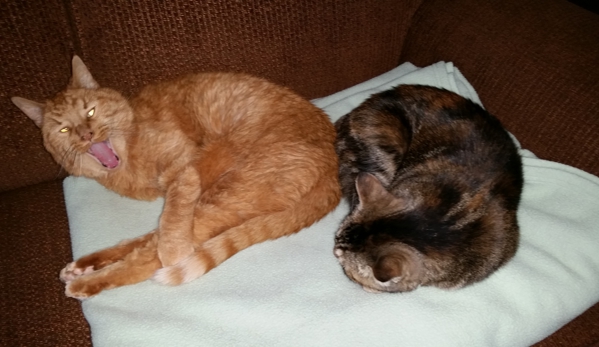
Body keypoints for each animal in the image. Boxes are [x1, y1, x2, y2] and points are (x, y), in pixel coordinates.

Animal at [11, 56, 342, 300]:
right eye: (64, 129)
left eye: (90, 112)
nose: (86, 135)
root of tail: (333, 169)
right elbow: (164, 225)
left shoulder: (183, 168)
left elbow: (172, 218)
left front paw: (173, 249)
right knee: (147, 240)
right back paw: (82, 266)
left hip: (227, 190)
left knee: (149, 254)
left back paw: (86, 282)